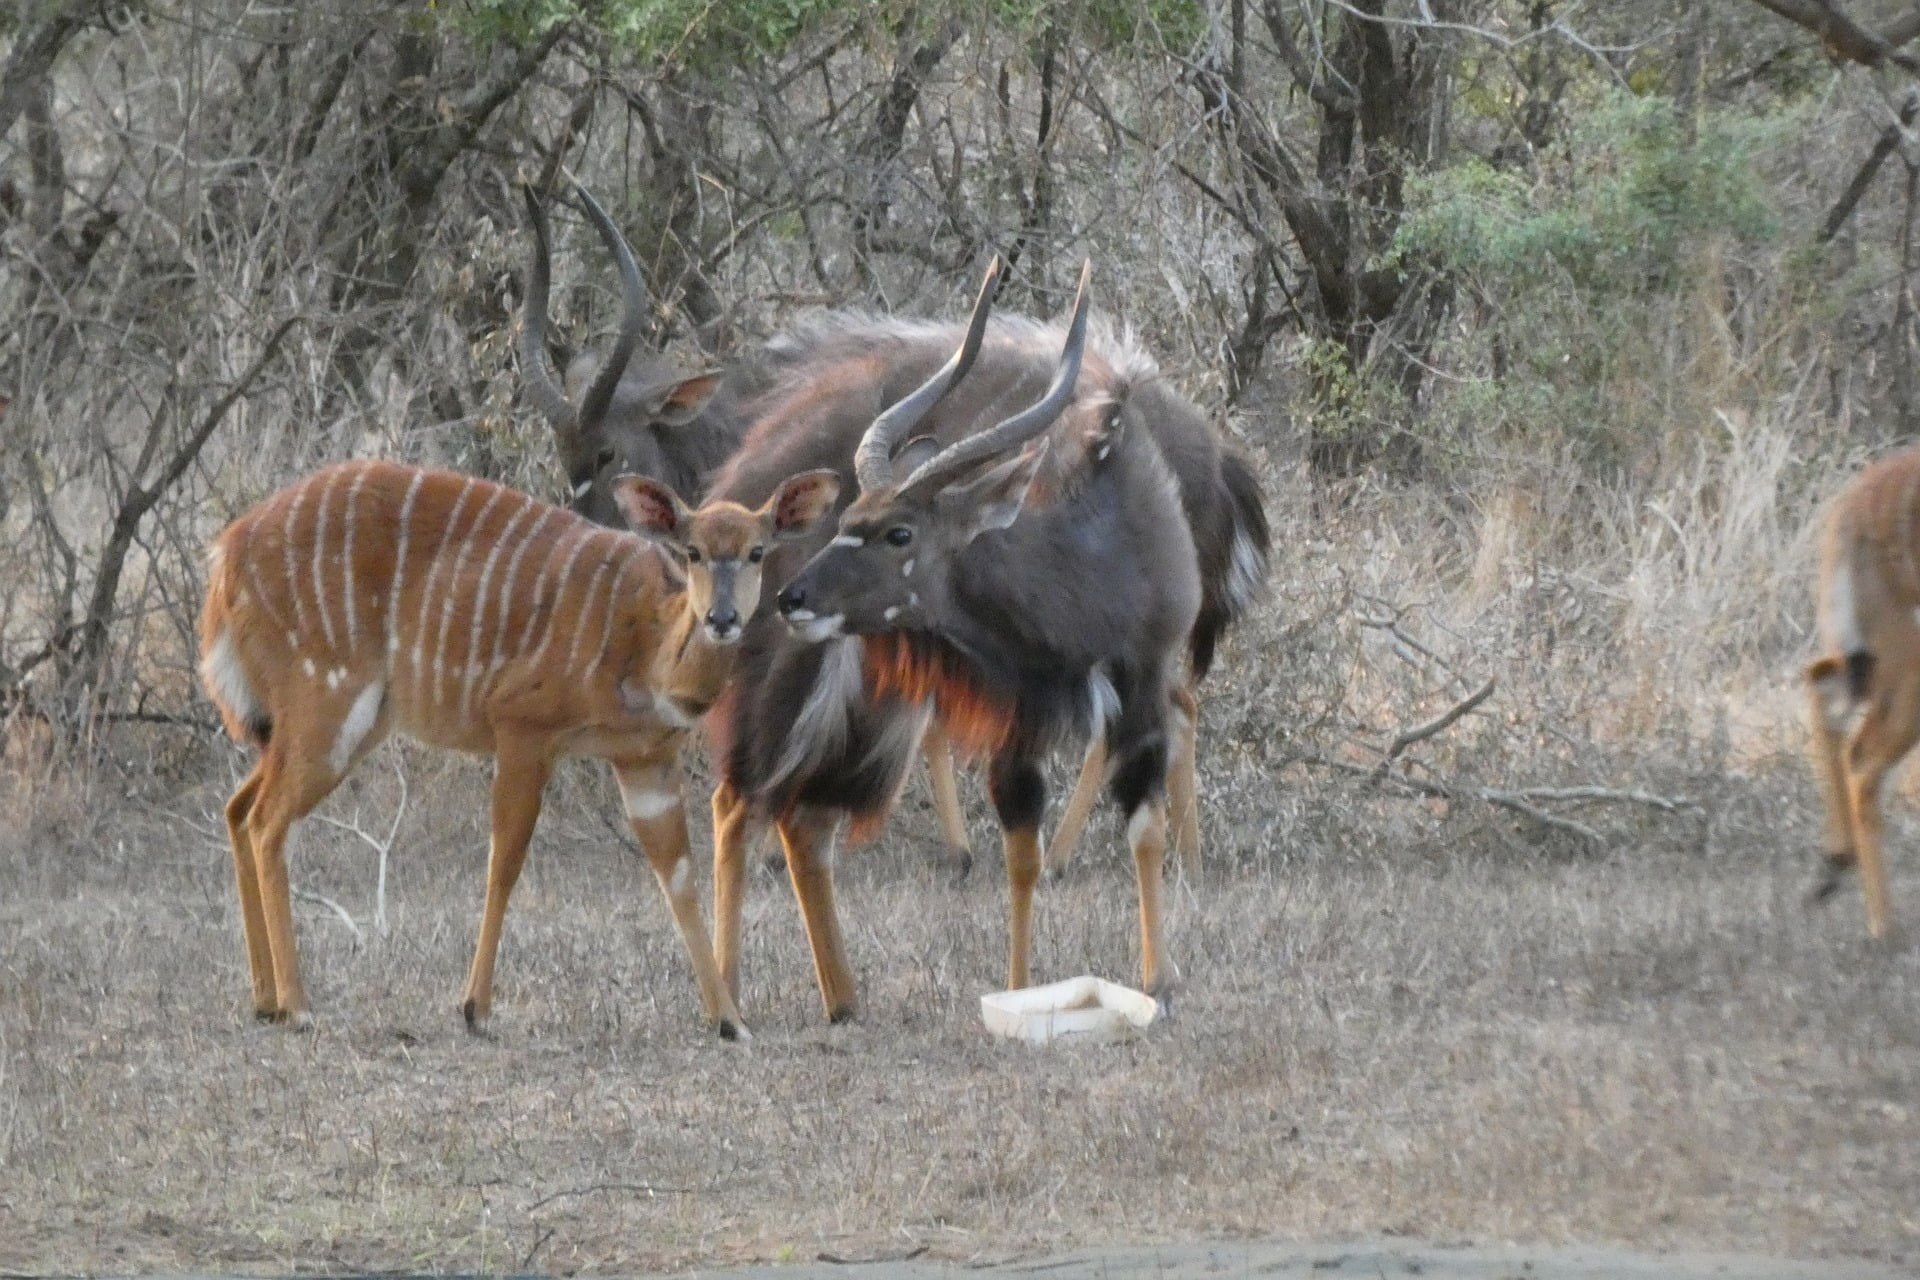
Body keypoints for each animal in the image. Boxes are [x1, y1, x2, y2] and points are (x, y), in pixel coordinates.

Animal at [198, 454, 837, 1036]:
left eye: (757, 551)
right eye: (693, 551)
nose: (722, 618)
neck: (647, 647)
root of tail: (228, 551)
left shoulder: (644, 758)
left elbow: (676, 875)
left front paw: (729, 1020)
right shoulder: (523, 729)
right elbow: (505, 860)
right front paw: (475, 1009)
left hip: (336, 723)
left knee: (237, 808)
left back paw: (265, 1001)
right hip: (327, 706)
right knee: (266, 821)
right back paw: (298, 1004)